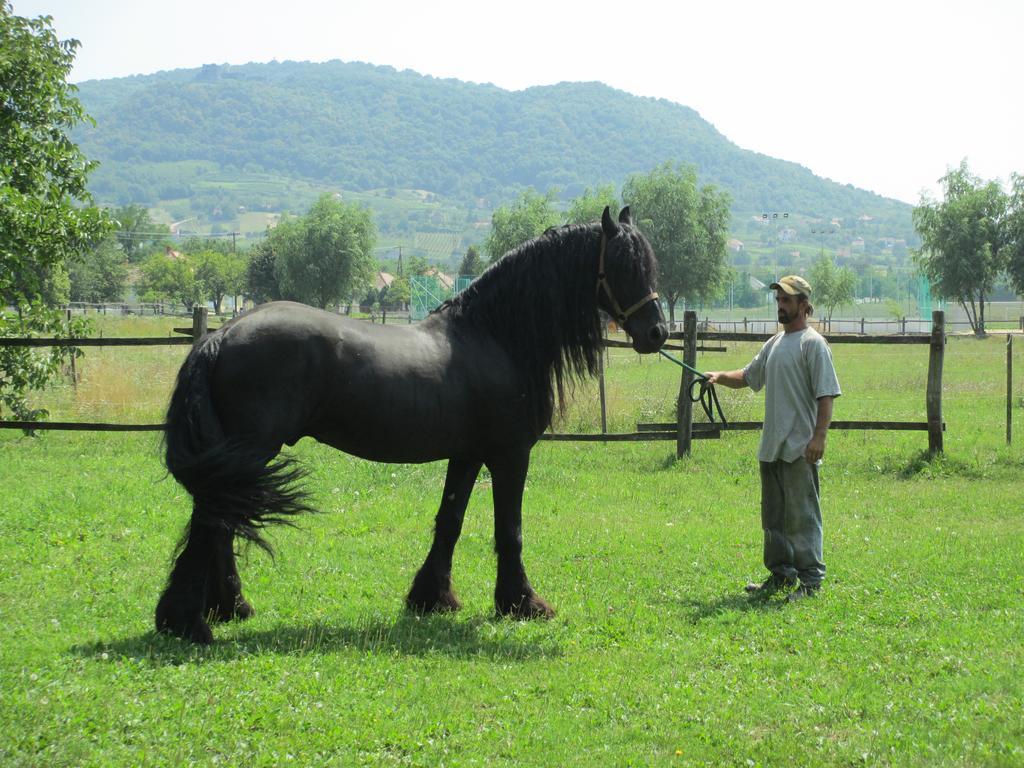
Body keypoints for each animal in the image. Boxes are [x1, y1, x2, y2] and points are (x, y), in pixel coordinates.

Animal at [155, 207, 667, 647]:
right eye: (623, 265)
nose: (657, 333)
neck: (495, 336)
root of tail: (221, 336)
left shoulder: (468, 454)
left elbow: (450, 521)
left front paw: (432, 598)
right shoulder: (509, 454)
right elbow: (510, 528)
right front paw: (522, 603)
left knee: (220, 519)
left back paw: (228, 607)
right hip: (248, 452)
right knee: (213, 520)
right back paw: (188, 622)